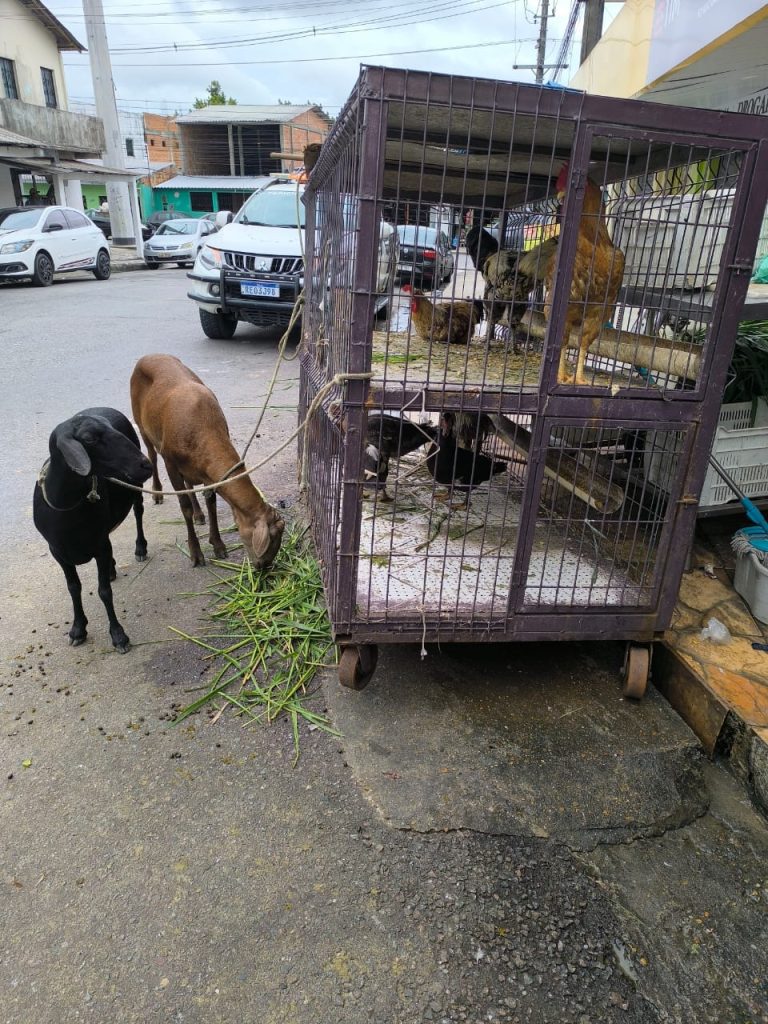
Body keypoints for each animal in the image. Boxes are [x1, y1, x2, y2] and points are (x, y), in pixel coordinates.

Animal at [33, 405, 153, 651]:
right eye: (89, 439)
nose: (146, 465)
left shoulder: (99, 546)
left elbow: (104, 591)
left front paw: (118, 635)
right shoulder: (58, 552)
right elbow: (73, 588)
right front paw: (78, 629)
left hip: (134, 488)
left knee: (138, 511)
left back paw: (140, 548)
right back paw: (112, 568)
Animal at [129, 354, 286, 569]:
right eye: (271, 539)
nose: (264, 566)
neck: (203, 424)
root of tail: (148, 356)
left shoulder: (206, 472)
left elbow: (211, 502)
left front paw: (218, 545)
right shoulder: (171, 462)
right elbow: (184, 506)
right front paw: (196, 554)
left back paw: (199, 515)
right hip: (142, 425)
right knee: (152, 454)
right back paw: (158, 493)